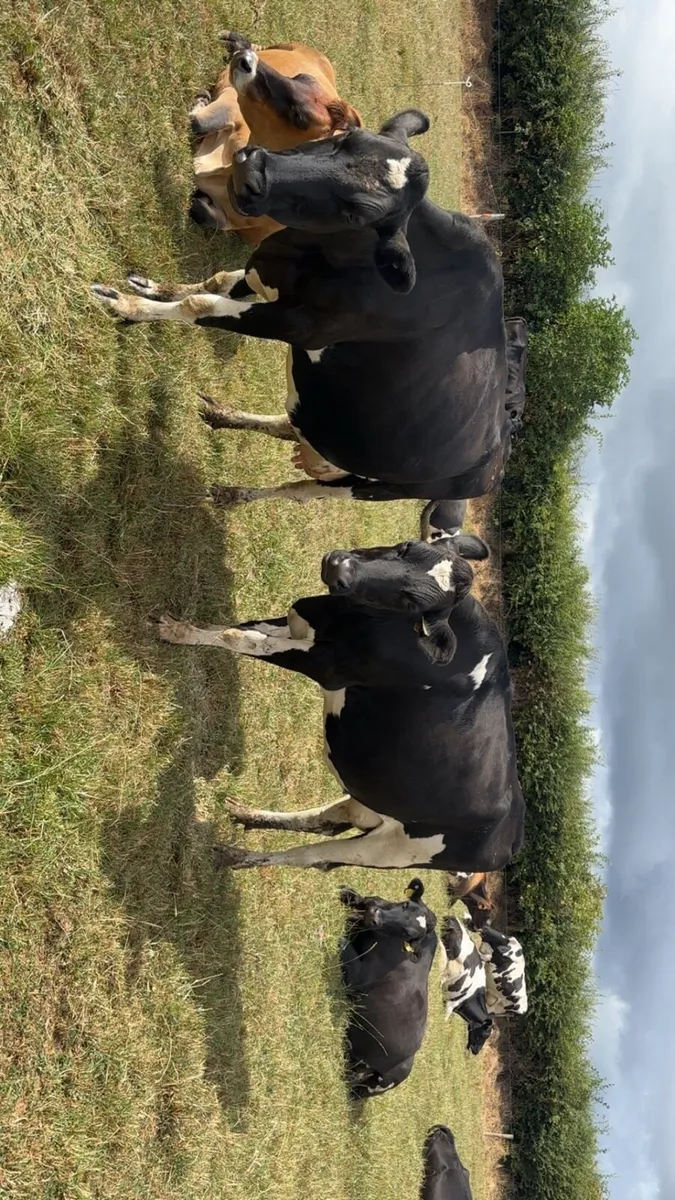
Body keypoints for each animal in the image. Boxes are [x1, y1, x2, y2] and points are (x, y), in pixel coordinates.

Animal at [90, 108, 528, 509]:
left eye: (359, 213)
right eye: (348, 136)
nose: (253, 170)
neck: (314, 252)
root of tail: (498, 458)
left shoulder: (298, 324)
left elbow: (201, 304)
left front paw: (127, 306)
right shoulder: (268, 268)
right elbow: (216, 283)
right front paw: (153, 288)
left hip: (374, 487)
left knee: (300, 490)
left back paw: (235, 494)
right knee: (290, 422)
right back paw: (223, 417)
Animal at [151, 507, 525, 875]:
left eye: (409, 602)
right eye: (406, 547)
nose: (340, 567)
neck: (345, 617)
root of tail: (509, 839)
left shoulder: (325, 666)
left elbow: (242, 638)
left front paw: (179, 633)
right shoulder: (304, 624)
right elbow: (246, 627)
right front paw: (193, 626)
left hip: (396, 850)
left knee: (314, 858)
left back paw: (235, 856)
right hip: (373, 806)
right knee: (326, 820)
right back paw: (248, 815)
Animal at [190, 32, 362, 245]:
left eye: (298, 116)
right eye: (301, 77)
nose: (246, 61)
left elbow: (204, 213)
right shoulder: (234, 103)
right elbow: (198, 122)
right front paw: (201, 98)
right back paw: (235, 42)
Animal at [339, 878, 438, 1097]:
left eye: (408, 933)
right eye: (406, 905)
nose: (375, 916)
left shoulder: (358, 978)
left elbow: (342, 944)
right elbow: (353, 895)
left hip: (374, 1079)